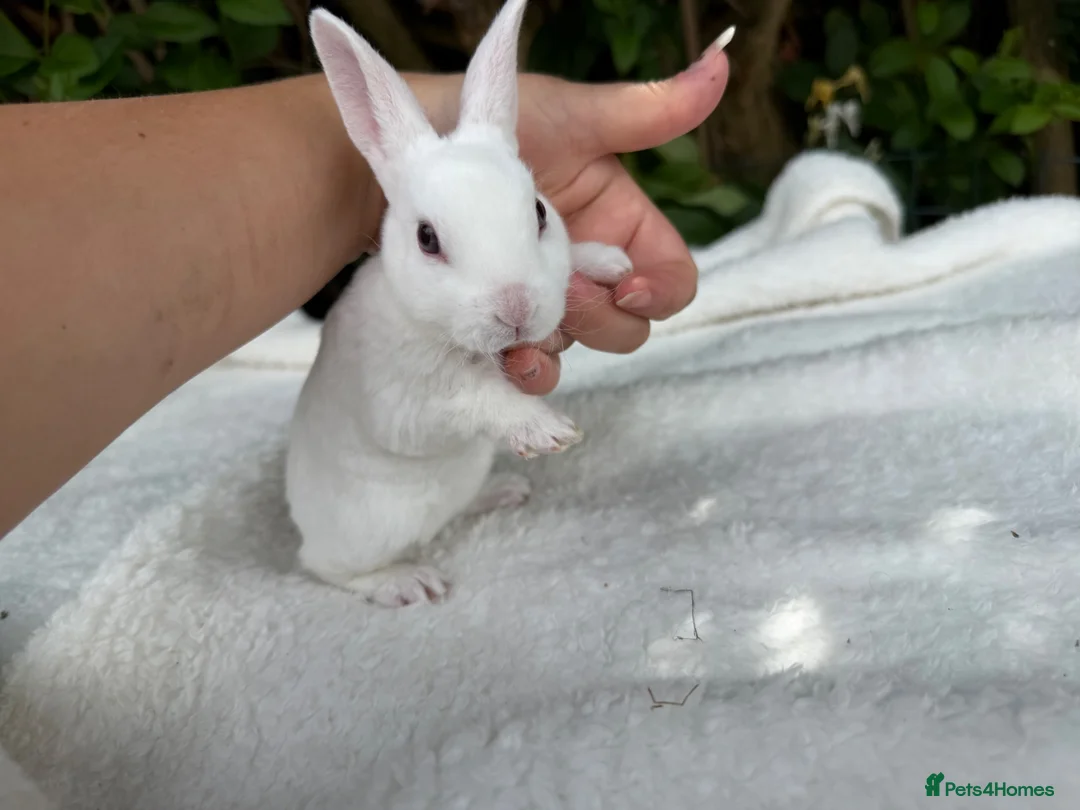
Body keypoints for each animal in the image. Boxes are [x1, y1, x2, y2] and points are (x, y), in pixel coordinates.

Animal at [285, 0, 635, 608]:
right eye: (427, 239)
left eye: (539, 212)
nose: (516, 309)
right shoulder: (407, 403)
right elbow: (475, 399)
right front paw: (545, 431)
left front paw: (610, 263)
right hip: (368, 528)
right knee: (325, 567)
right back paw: (406, 582)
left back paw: (505, 490)